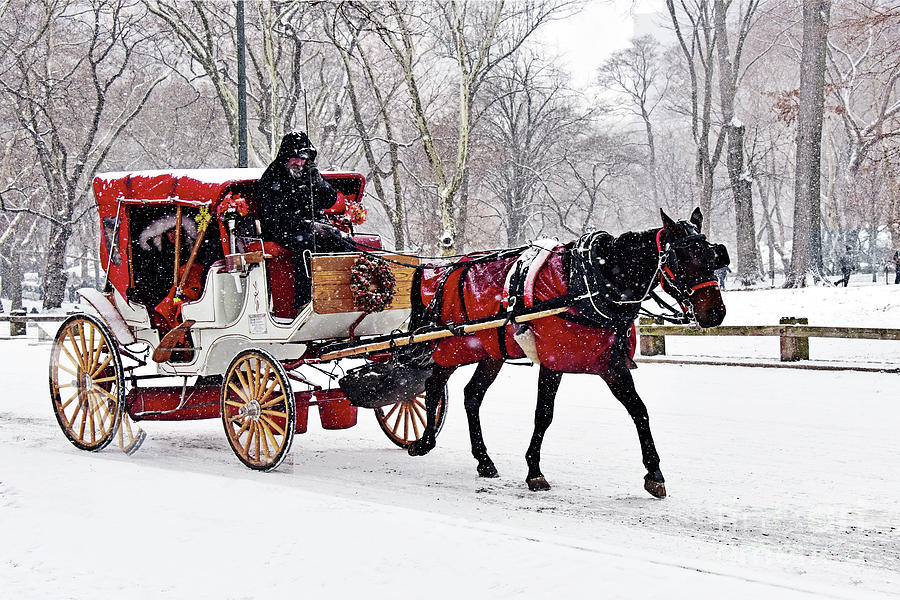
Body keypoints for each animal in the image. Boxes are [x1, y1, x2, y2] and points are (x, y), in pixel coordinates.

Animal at [404, 206, 728, 496]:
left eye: (713, 256)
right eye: (682, 258)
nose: (716, 313)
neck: (589, 281)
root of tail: (448, 270)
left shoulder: (609, 363)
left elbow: (639, 410)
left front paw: (654, 472)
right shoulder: (553, 359)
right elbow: (543, 414)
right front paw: (534, 471)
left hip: (492, 351)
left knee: (472, 395)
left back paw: (483, 460)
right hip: (456, 346)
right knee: (434, 384)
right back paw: (424, 441)